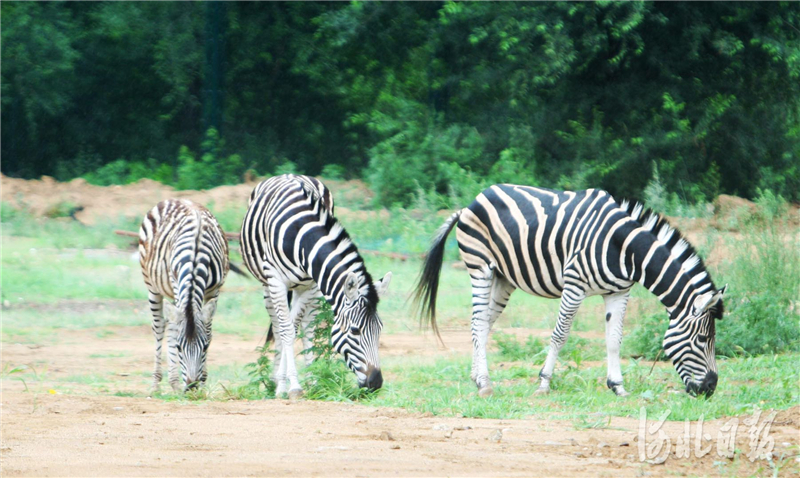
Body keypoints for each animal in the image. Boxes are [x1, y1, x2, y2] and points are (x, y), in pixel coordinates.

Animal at [138, 198, 228, 392]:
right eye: (179, 348)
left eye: (206, 347)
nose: (192, 387)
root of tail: (176, 199)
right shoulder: (176, 283)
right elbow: (172, 334)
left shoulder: (214, 291)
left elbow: (208, 330)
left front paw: (204, 382)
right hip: (153, 286)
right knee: (159, 328)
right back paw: (157, 384)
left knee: (172, 325)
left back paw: (174, 383)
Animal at [241, 174, 394, 398]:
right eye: (355, 331)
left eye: (380, 329)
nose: (376, 383)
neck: (302, 234)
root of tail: (288, 174)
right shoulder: (276, 280)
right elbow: (286, 331)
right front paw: (288, 385)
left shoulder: (312, 283)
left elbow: (296, 328)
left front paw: (295, 381)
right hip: (267, 284)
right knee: (278, 327)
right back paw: (276, 380)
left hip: (310, 289)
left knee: (307, 326)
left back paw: (311, 379)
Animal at [416, 185, 728, 398]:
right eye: (702, 339)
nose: (710, 387)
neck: (623, 248)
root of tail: (474, 200)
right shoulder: (574, 285)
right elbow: (560, 334)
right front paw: (544, 382)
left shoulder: (618, 292)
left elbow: (614, 339)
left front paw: (617, 386)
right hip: (480, 267)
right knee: (478, 321)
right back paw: (484, 383)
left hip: (504, 278)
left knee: (484, 323)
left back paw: (477, 376)